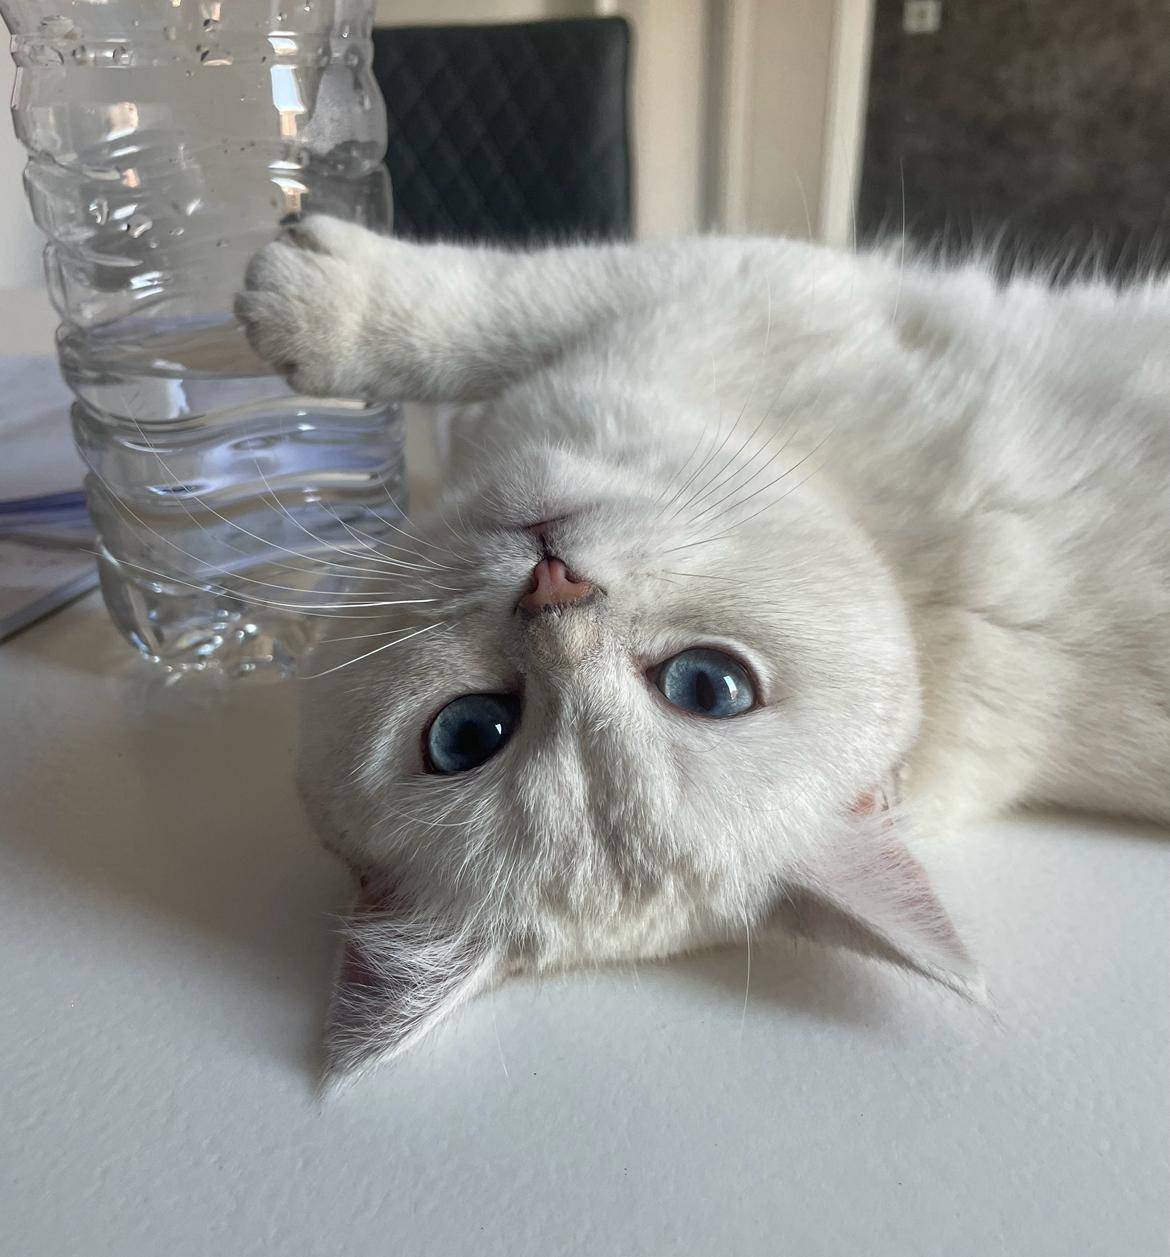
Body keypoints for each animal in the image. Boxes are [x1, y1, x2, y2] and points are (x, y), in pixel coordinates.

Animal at [235, 218, 1170, 1081]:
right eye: (469, 732)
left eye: (707, 685)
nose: (554, 587)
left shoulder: (738, 276)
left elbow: (501, 305)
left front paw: (307, 300)